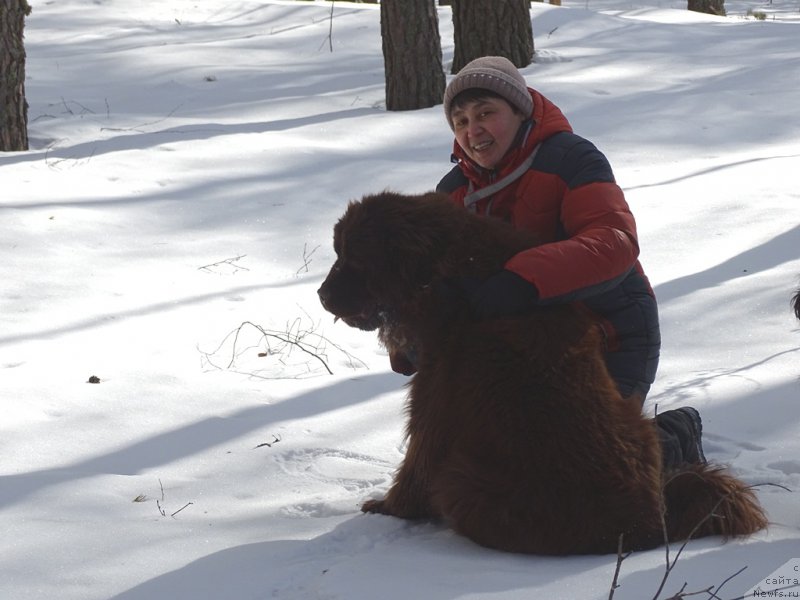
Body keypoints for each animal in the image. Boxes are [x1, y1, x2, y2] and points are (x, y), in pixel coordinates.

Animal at [318, 191, 768, 552]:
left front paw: (389, 509)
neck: (441, 269)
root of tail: (650, 522)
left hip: (463, 479)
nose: (321, 295)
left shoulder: (435, 392)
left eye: (353, 258)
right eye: (339, 252)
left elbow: (417, 458)